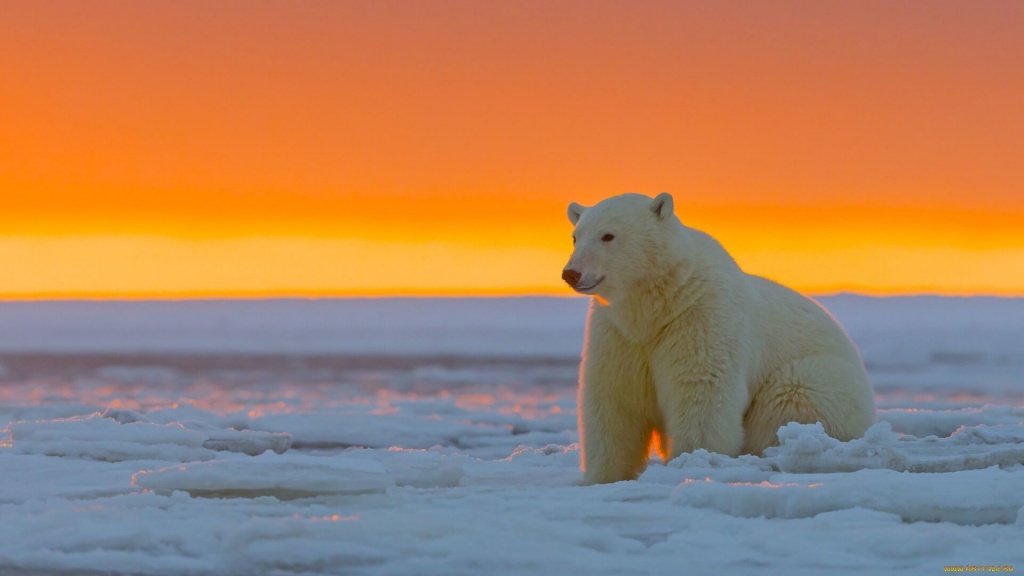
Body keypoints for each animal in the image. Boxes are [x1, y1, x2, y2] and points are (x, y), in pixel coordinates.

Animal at [565, 190, 876, 481]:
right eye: (576, 237)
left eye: (608, 235)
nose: (571, 273)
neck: (657, 306)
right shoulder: (618, 333)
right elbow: (613, 399)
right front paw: (603, 476)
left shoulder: (700, 316)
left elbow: (701, 391)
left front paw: (692, 459)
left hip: (820, 381)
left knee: (792, 397)